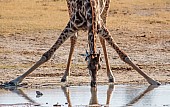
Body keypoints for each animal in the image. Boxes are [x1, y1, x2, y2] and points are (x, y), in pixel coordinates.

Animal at [4, 0, 161, 87]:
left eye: (99, 67)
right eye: (87, 67)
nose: (93, 84)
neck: (89, 13)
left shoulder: (100, 27)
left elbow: (123, 55)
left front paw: (153, 81)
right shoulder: (71, 25)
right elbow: (47, 54)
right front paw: (15, 80)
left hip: (106, 8)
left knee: (101, 39)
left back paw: (110, 76)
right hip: (69, 8)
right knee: (74, 38)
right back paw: (65, 75)